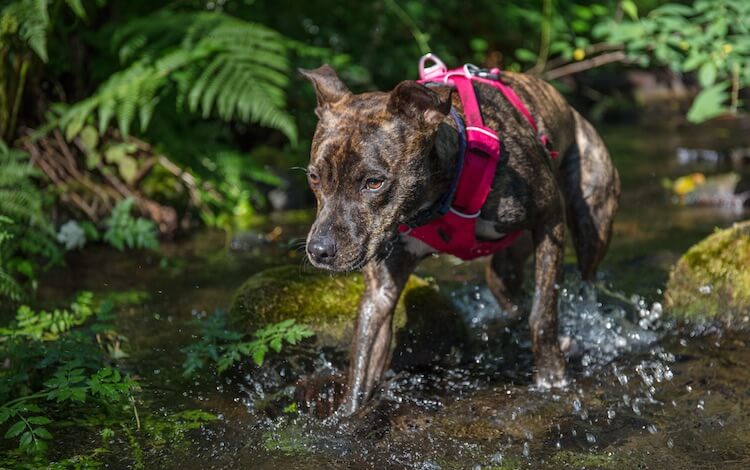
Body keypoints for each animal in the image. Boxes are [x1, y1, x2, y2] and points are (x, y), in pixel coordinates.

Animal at [300, 61, 624, 414]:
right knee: (509, 293)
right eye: (314, 177)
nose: (319, 250)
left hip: (590, 221)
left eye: (374, 182)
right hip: (506, 266)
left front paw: (552, 377)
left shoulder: (549, 221)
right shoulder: (381, 287)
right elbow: (363, 357)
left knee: (585, 278)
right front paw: (349, 415)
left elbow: (543, 313)